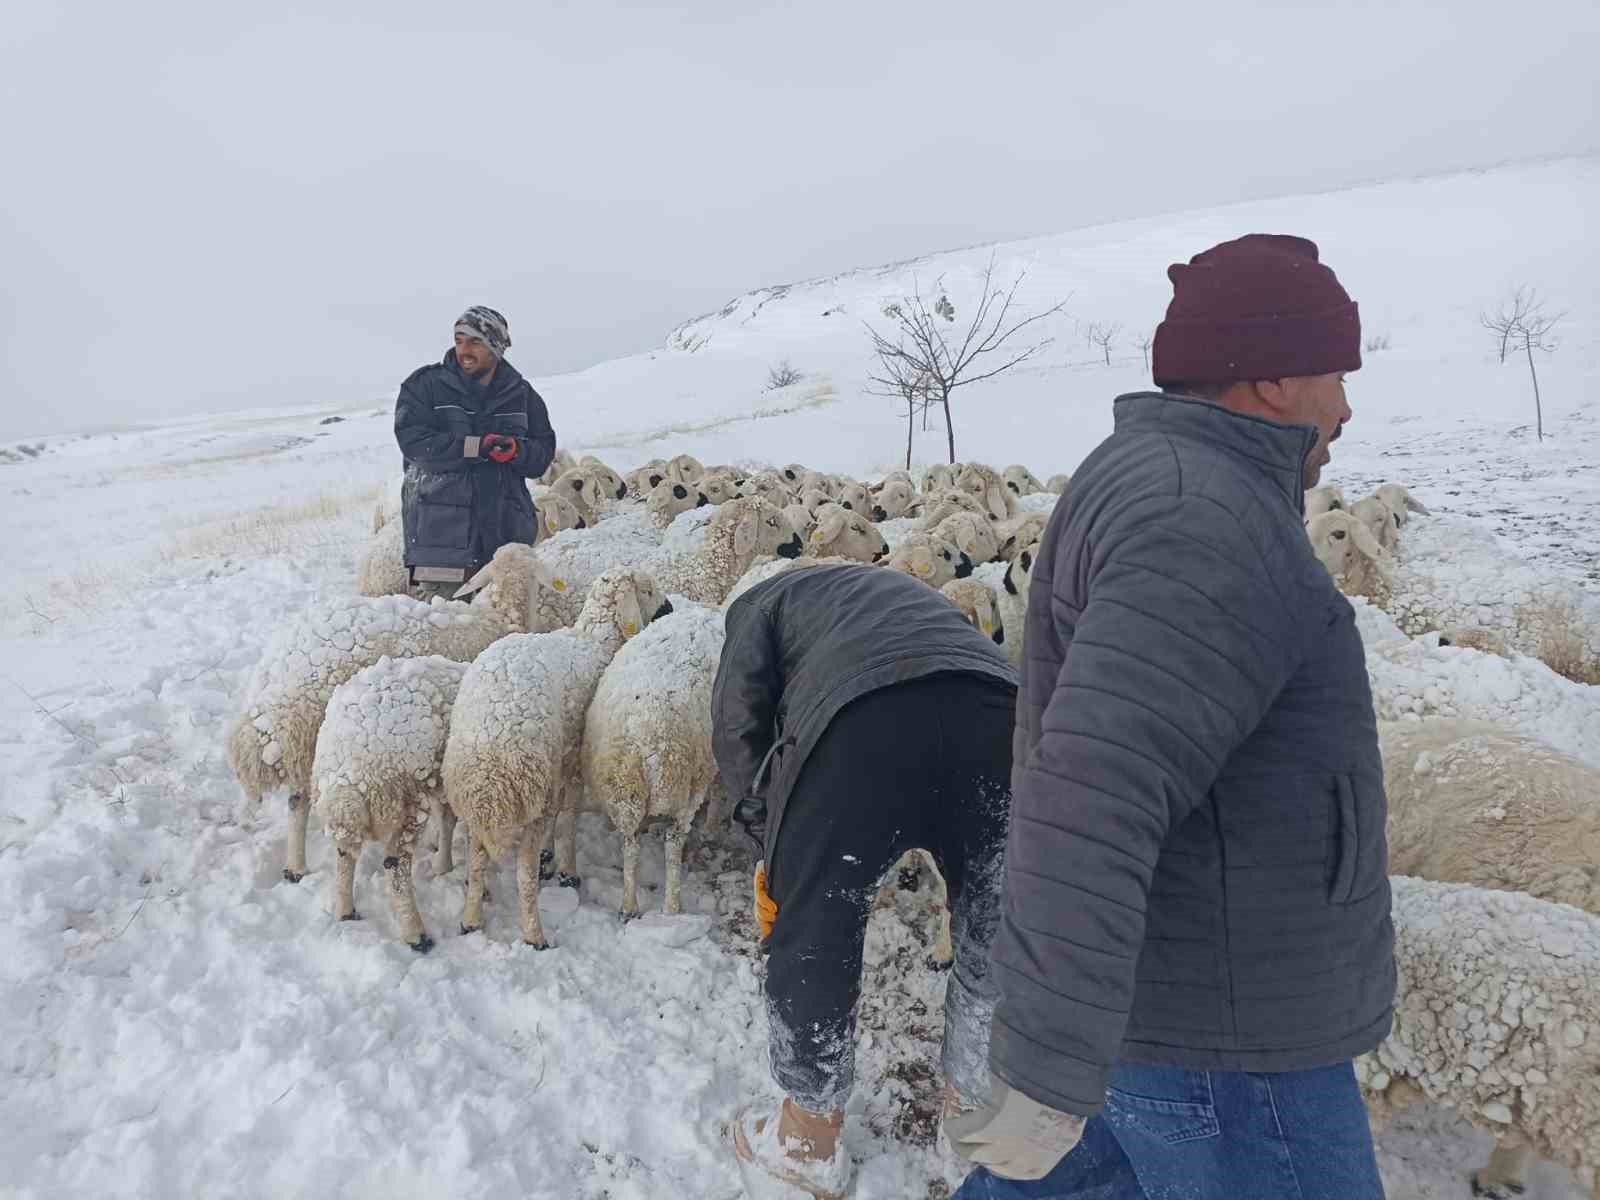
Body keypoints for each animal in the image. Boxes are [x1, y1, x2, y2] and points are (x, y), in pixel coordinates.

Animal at [222, 544, 553, 883]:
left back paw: (292, 865)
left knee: (295, 800)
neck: (498, 615)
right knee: (300, 803)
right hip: (312, 731)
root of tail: (284, 667)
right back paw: (299, 865)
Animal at [307, 652, 467, 953]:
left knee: (344, 855)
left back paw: (345, 910)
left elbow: (447, 819)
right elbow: (449, 819)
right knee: (395, 866)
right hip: (405, 803)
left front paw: (442, 859)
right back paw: (416, 934)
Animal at [441, 569, 665, 953]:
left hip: (479, 805)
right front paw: (567, 868)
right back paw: (534, 934)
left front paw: (551, 855)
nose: (669, 608)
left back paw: (471, 919)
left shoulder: (559, 767)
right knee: (523, 870)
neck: (594, 640)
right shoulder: (572, 761)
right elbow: (569, 816)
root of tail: (489, 772)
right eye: (648, 590)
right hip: (530, 791)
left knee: (477, 860)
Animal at [585, 604, 723, 928]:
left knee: (630, 843)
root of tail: (645, 734)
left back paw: (628, 906)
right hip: (685, 784)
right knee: (673, 845)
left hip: (624, 792)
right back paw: (672, 909)